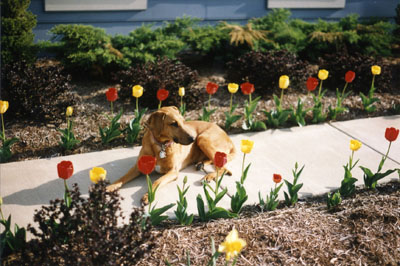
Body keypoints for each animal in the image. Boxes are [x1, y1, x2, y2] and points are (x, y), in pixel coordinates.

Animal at [108, 106, 236, 204]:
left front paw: (148, 196)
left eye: (183, 121)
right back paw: (201, 164)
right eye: (173, 124)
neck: (160, 145)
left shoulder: (173, 172)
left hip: (203, 139)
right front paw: (110, 187)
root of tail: (227, 136)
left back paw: (208, 176)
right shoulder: (138, 166)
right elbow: (122, 178)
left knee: (225, 168)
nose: (192, 138)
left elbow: (157, 181)